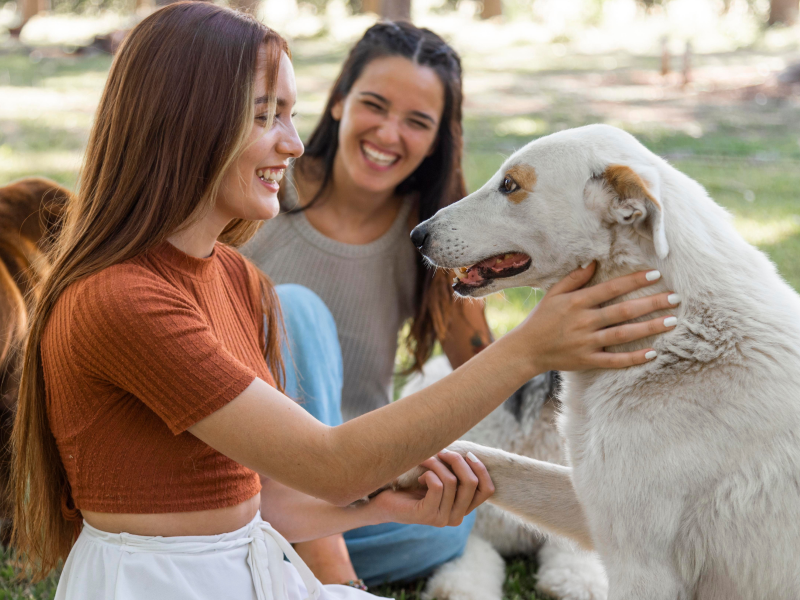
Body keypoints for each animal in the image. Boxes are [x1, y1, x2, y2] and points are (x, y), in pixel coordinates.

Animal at [404, 125, 800, 600]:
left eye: (510, 185)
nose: (416, 235)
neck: (671, 340)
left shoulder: (640, 567)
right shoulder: (591, 504)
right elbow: (484, 454)